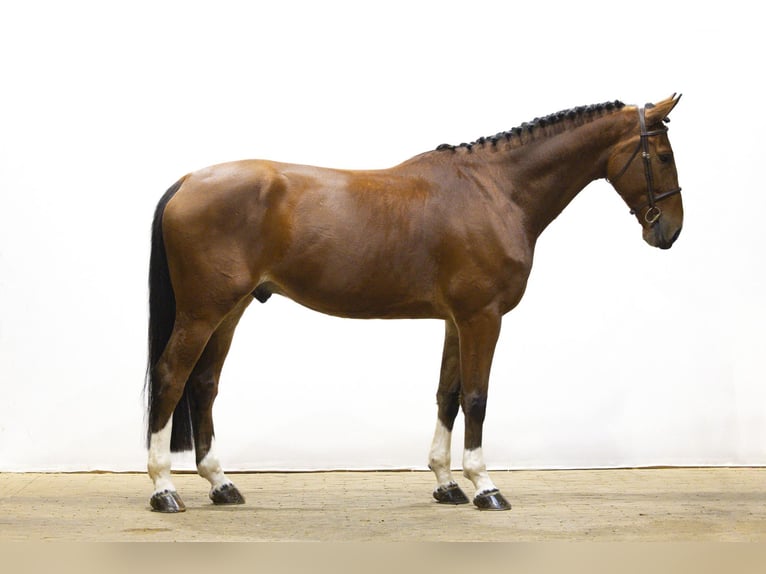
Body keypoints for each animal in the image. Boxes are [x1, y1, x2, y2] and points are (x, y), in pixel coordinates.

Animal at [145, 94, 683, 512]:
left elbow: (448, 394)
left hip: (229, 310)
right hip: (202, 312)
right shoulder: (481, 318)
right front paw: (485, 486)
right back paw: (164, 489)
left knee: (204, 384)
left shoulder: (455, 321)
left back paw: (221, 484)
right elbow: (476, 398)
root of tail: (189, 180)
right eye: (661, 155)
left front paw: (446, 483)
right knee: (172, 377)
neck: (495, 191)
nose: (670, 232)